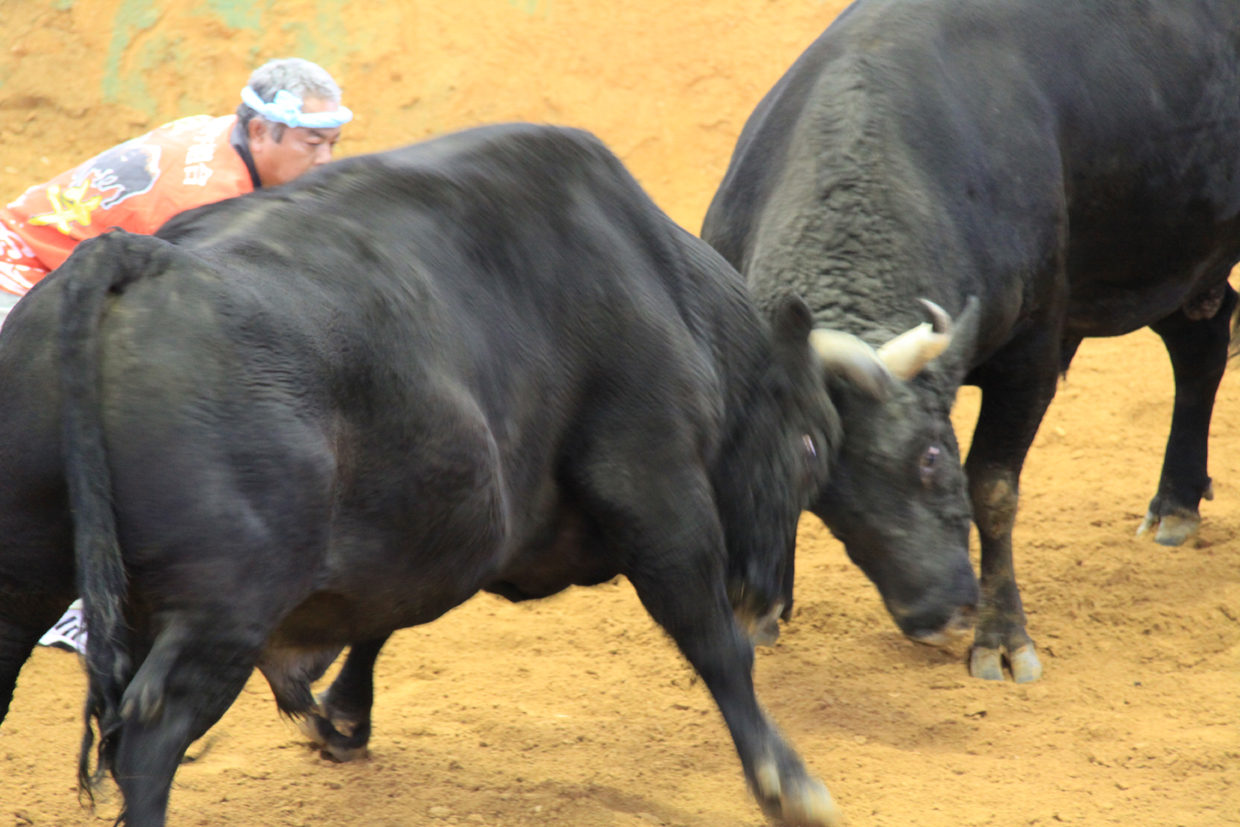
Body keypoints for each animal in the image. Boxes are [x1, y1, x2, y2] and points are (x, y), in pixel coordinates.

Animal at [0, 123, 955, 827]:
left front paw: (343, 715)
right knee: (148, 736)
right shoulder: (656, 487)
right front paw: (785, 780)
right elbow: (712, 641)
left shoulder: (433, 521)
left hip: (31, 570)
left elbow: (380, 616)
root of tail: (130, 260)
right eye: (811, 448)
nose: (769, 596)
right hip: (224, 606)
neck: (659, 286)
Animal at [701, 0, 1240, 684]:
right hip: (1165, 267)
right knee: (1202, 343)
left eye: (931, 456)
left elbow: (992, 488)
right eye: (818, 490)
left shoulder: (1032, 354)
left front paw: (1002, 636)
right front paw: (762, 607)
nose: (937, 616)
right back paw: (1176, 502)